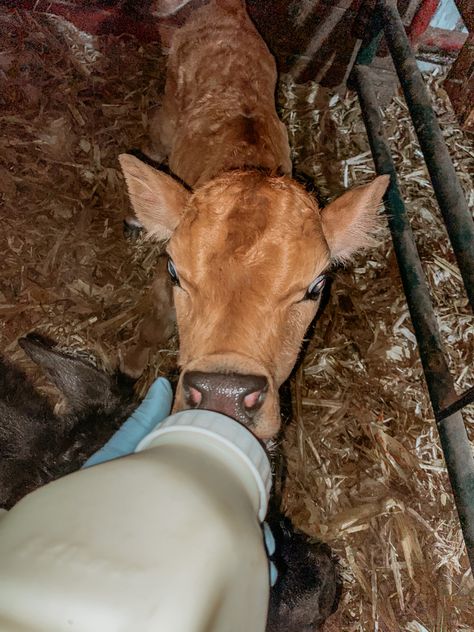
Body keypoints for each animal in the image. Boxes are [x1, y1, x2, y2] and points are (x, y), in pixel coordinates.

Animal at [119, 0, 388, 440]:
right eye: (176, 271)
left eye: (316, 286)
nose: (223, 394)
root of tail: (226, 9)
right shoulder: (160, 286)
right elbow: (154, 324)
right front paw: (128, 369)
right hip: (167, 112)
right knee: (154, 143)